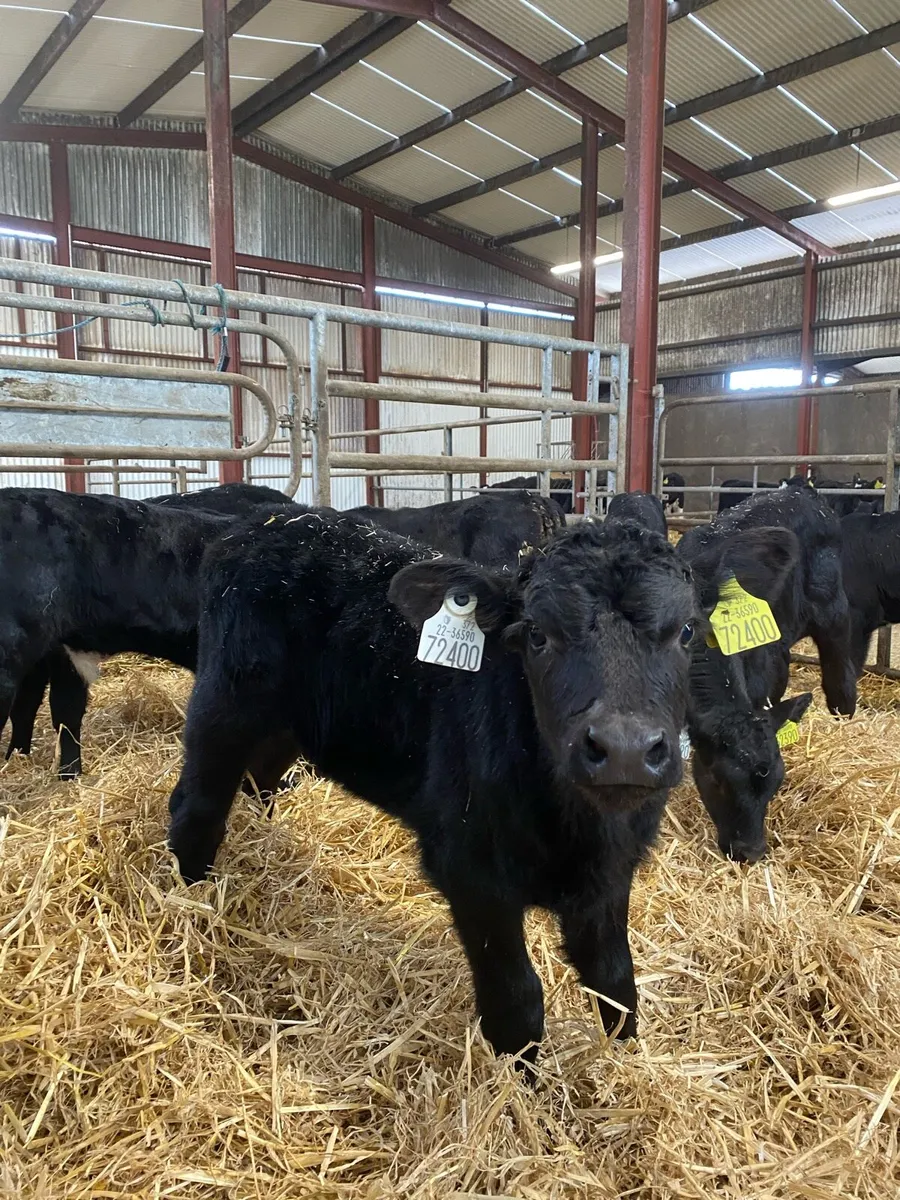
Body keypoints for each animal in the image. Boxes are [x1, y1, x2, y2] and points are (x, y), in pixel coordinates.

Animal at [167, 506, 796, 1060]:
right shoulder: (471, 873)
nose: (623, 751)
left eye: (687, 631)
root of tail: (261, 526)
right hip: (224, 704)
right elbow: (517, 1004)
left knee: (261, 780)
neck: (577, 829)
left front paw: (626, 1067)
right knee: (196, 806)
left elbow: (617, 983)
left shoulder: (611, 874)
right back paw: (193, 906)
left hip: (288, 725)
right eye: (535, 635)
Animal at [677, 487, 856, 863]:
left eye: (777, 782)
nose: (750, 852)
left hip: (833, 610)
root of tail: (801, 490)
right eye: (717, 780)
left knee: (840, 676)